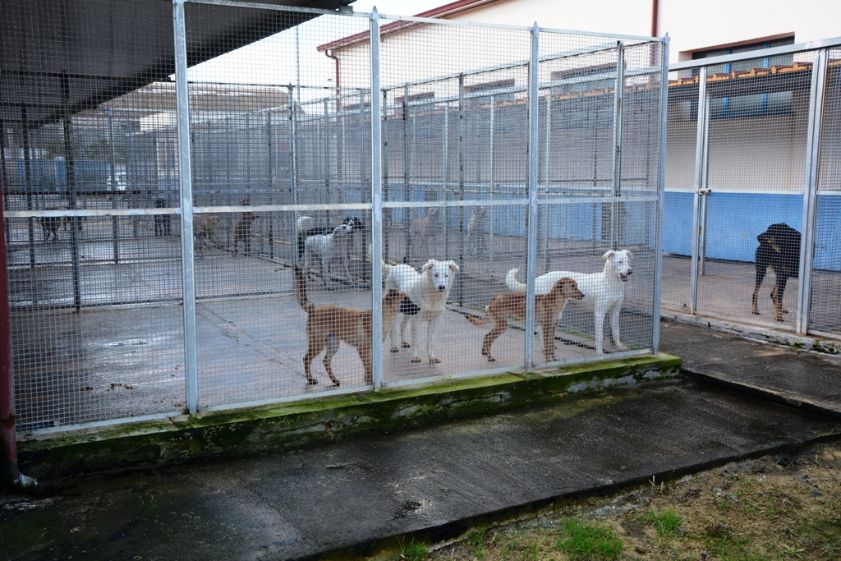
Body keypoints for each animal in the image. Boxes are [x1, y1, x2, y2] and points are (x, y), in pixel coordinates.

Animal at [502, 250, 632, 354]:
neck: (610, 284)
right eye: (620, 262)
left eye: (628, 261)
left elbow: (616, 332)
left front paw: (620, 347)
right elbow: (599, 335)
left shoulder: (615, 312)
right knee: (540, 329)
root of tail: (538, 279)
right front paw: (599, 352)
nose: (630, 271)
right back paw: (545, 348)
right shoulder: (599, 313)